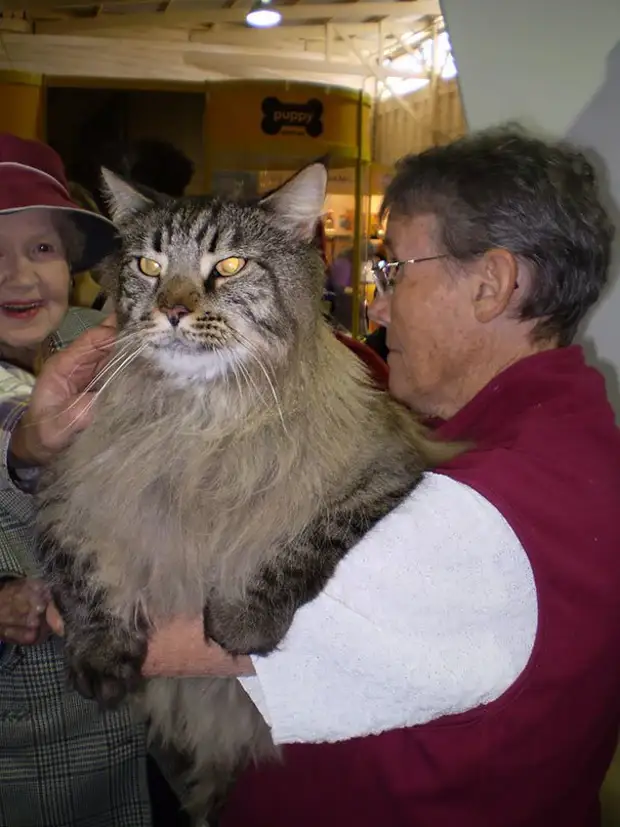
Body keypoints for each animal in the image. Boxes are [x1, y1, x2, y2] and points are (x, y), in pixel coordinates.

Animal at [36, 165, 458, 824]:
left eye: (229, 266)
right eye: (149, 267)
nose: (173, 310)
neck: (204, 420)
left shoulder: (389, 468)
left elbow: (303, 543)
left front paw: (243, 621)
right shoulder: (67, 485)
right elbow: (82, 571)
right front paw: (102, 653)